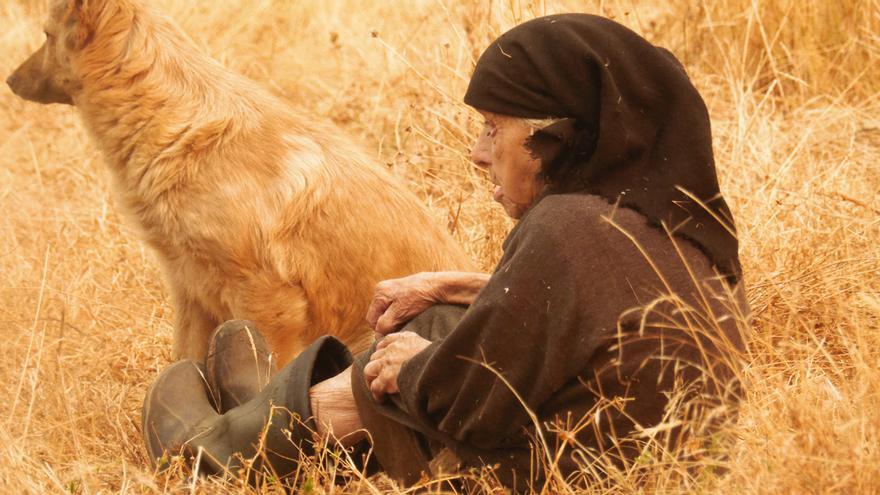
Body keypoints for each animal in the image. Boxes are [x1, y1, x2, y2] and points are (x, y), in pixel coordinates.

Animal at [8, 0, 474, 366]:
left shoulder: (268, 303)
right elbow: (185, 367)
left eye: (47, 35)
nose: (9, 81)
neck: (178, 128)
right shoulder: (192, 295)